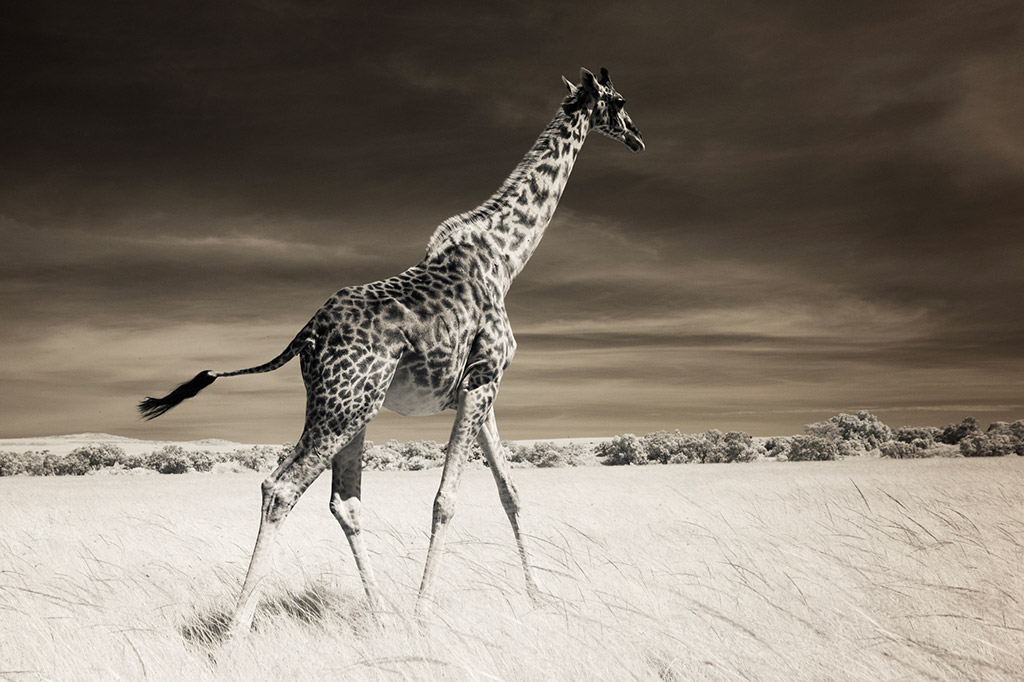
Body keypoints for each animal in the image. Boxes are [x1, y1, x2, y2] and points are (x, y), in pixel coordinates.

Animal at [140, 65, 643, 630]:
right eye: (620, 100)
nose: (637, 137)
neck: (504, 259)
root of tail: (307, 333)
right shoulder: (481, 381)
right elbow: (446, 500)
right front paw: (423, 613)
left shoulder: (483, 386)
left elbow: (510, 492)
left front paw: (537, 599)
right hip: (345, 405)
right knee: (282, 488)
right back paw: (236, 632)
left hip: (347, 407)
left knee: (340, 501)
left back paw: (379, 616)